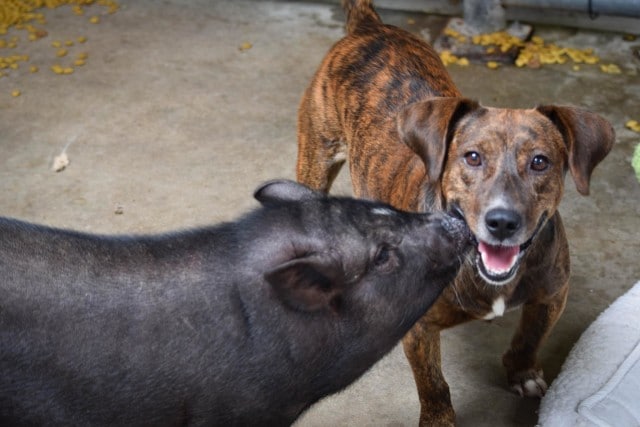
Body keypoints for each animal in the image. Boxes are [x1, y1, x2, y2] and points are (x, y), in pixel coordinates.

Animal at [296, 1, 616, 426]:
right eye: (473, 157)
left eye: (540, 162)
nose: (502, 222)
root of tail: (370, 27)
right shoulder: (419, 330)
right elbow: (433, 384)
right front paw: (439, 418)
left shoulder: (552, 295)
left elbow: (530, 338)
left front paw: (523, 372)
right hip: (316, 156)